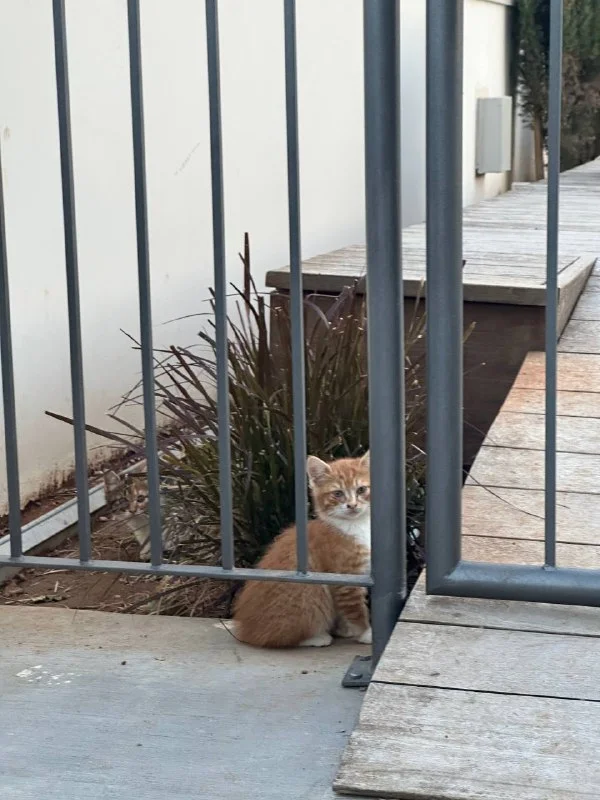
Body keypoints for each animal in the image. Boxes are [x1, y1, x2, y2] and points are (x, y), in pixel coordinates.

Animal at [232, 451, 371, 648]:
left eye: (361, 490)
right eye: (337, 494)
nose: (352, 505)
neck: (355, 525)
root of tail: (247, 631)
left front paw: (347, 629)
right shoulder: (345, 578)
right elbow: (356, 610)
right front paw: (367, 633)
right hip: (310, 593)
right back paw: (317, 637)